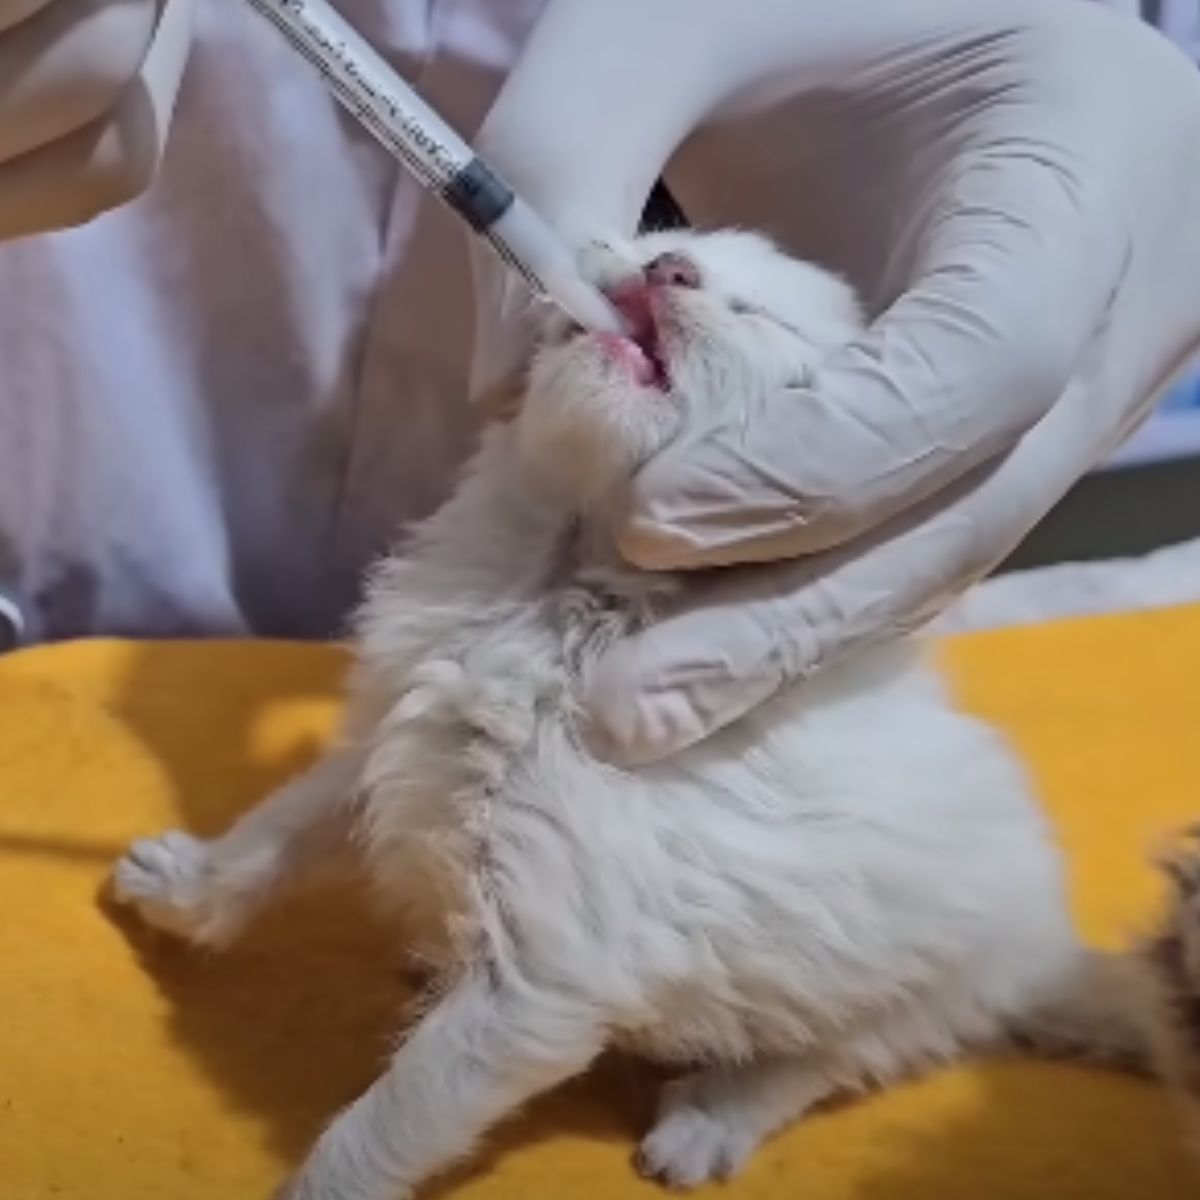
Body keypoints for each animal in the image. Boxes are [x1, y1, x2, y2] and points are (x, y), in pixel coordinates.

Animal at [114, 229, 1152, 1195]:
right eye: (664, 240)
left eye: (755, 316)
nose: (668, 271)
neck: (558, 599)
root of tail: (1044, 947)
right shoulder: (392, 740)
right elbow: (275, 831)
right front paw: (181, 883)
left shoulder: (544, 974)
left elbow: (397, 1112)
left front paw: (319, 1187)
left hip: (914, 987)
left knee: (825, 1058)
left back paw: (708, 1121)